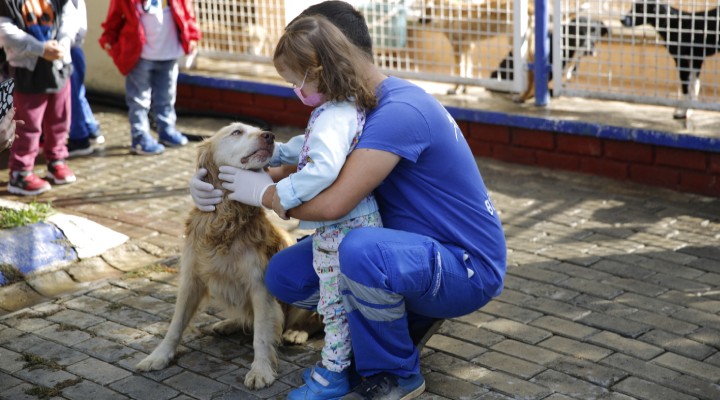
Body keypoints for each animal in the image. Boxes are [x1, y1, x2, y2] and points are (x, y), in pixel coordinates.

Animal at [137, 122, 320, 390]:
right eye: (236, 132)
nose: (270, 136)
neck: (226, 215)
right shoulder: (191, 280)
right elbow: (176, 324)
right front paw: (159, 356)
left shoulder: (259, 287)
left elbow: (261, 337)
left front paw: (260, 370)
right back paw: (227, 324)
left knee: (314, 321)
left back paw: (296, 332)